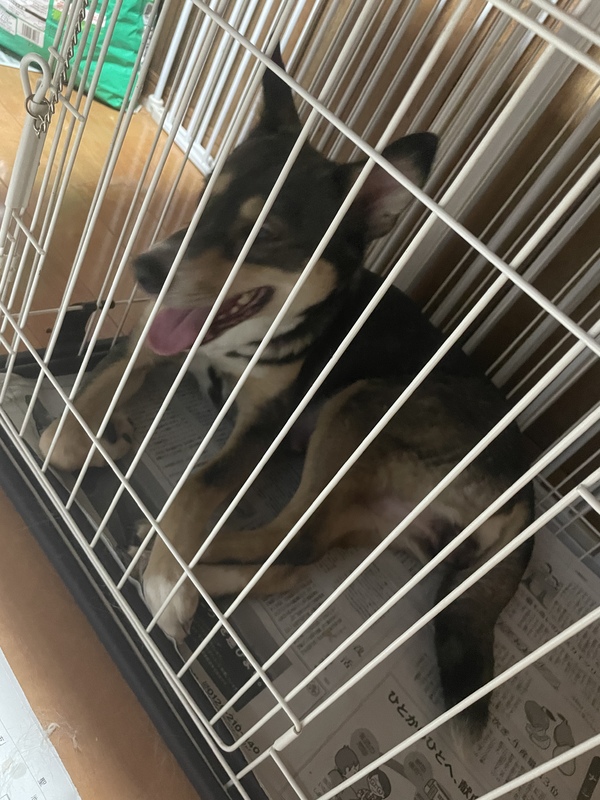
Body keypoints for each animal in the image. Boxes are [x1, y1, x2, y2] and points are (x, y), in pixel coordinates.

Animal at [39, 47, 533, 739]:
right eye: (204, 197)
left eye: (266, 233)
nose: (145, 269)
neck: (240, 338)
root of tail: (529, 493)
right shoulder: (154, 338)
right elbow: (88, 400)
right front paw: (88, 435)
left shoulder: (266, 425)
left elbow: (201, 484)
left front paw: (168, 584)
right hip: (369, 511)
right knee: (295, 558)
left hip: (361, 409)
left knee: (287, 540)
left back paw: (172, 560)